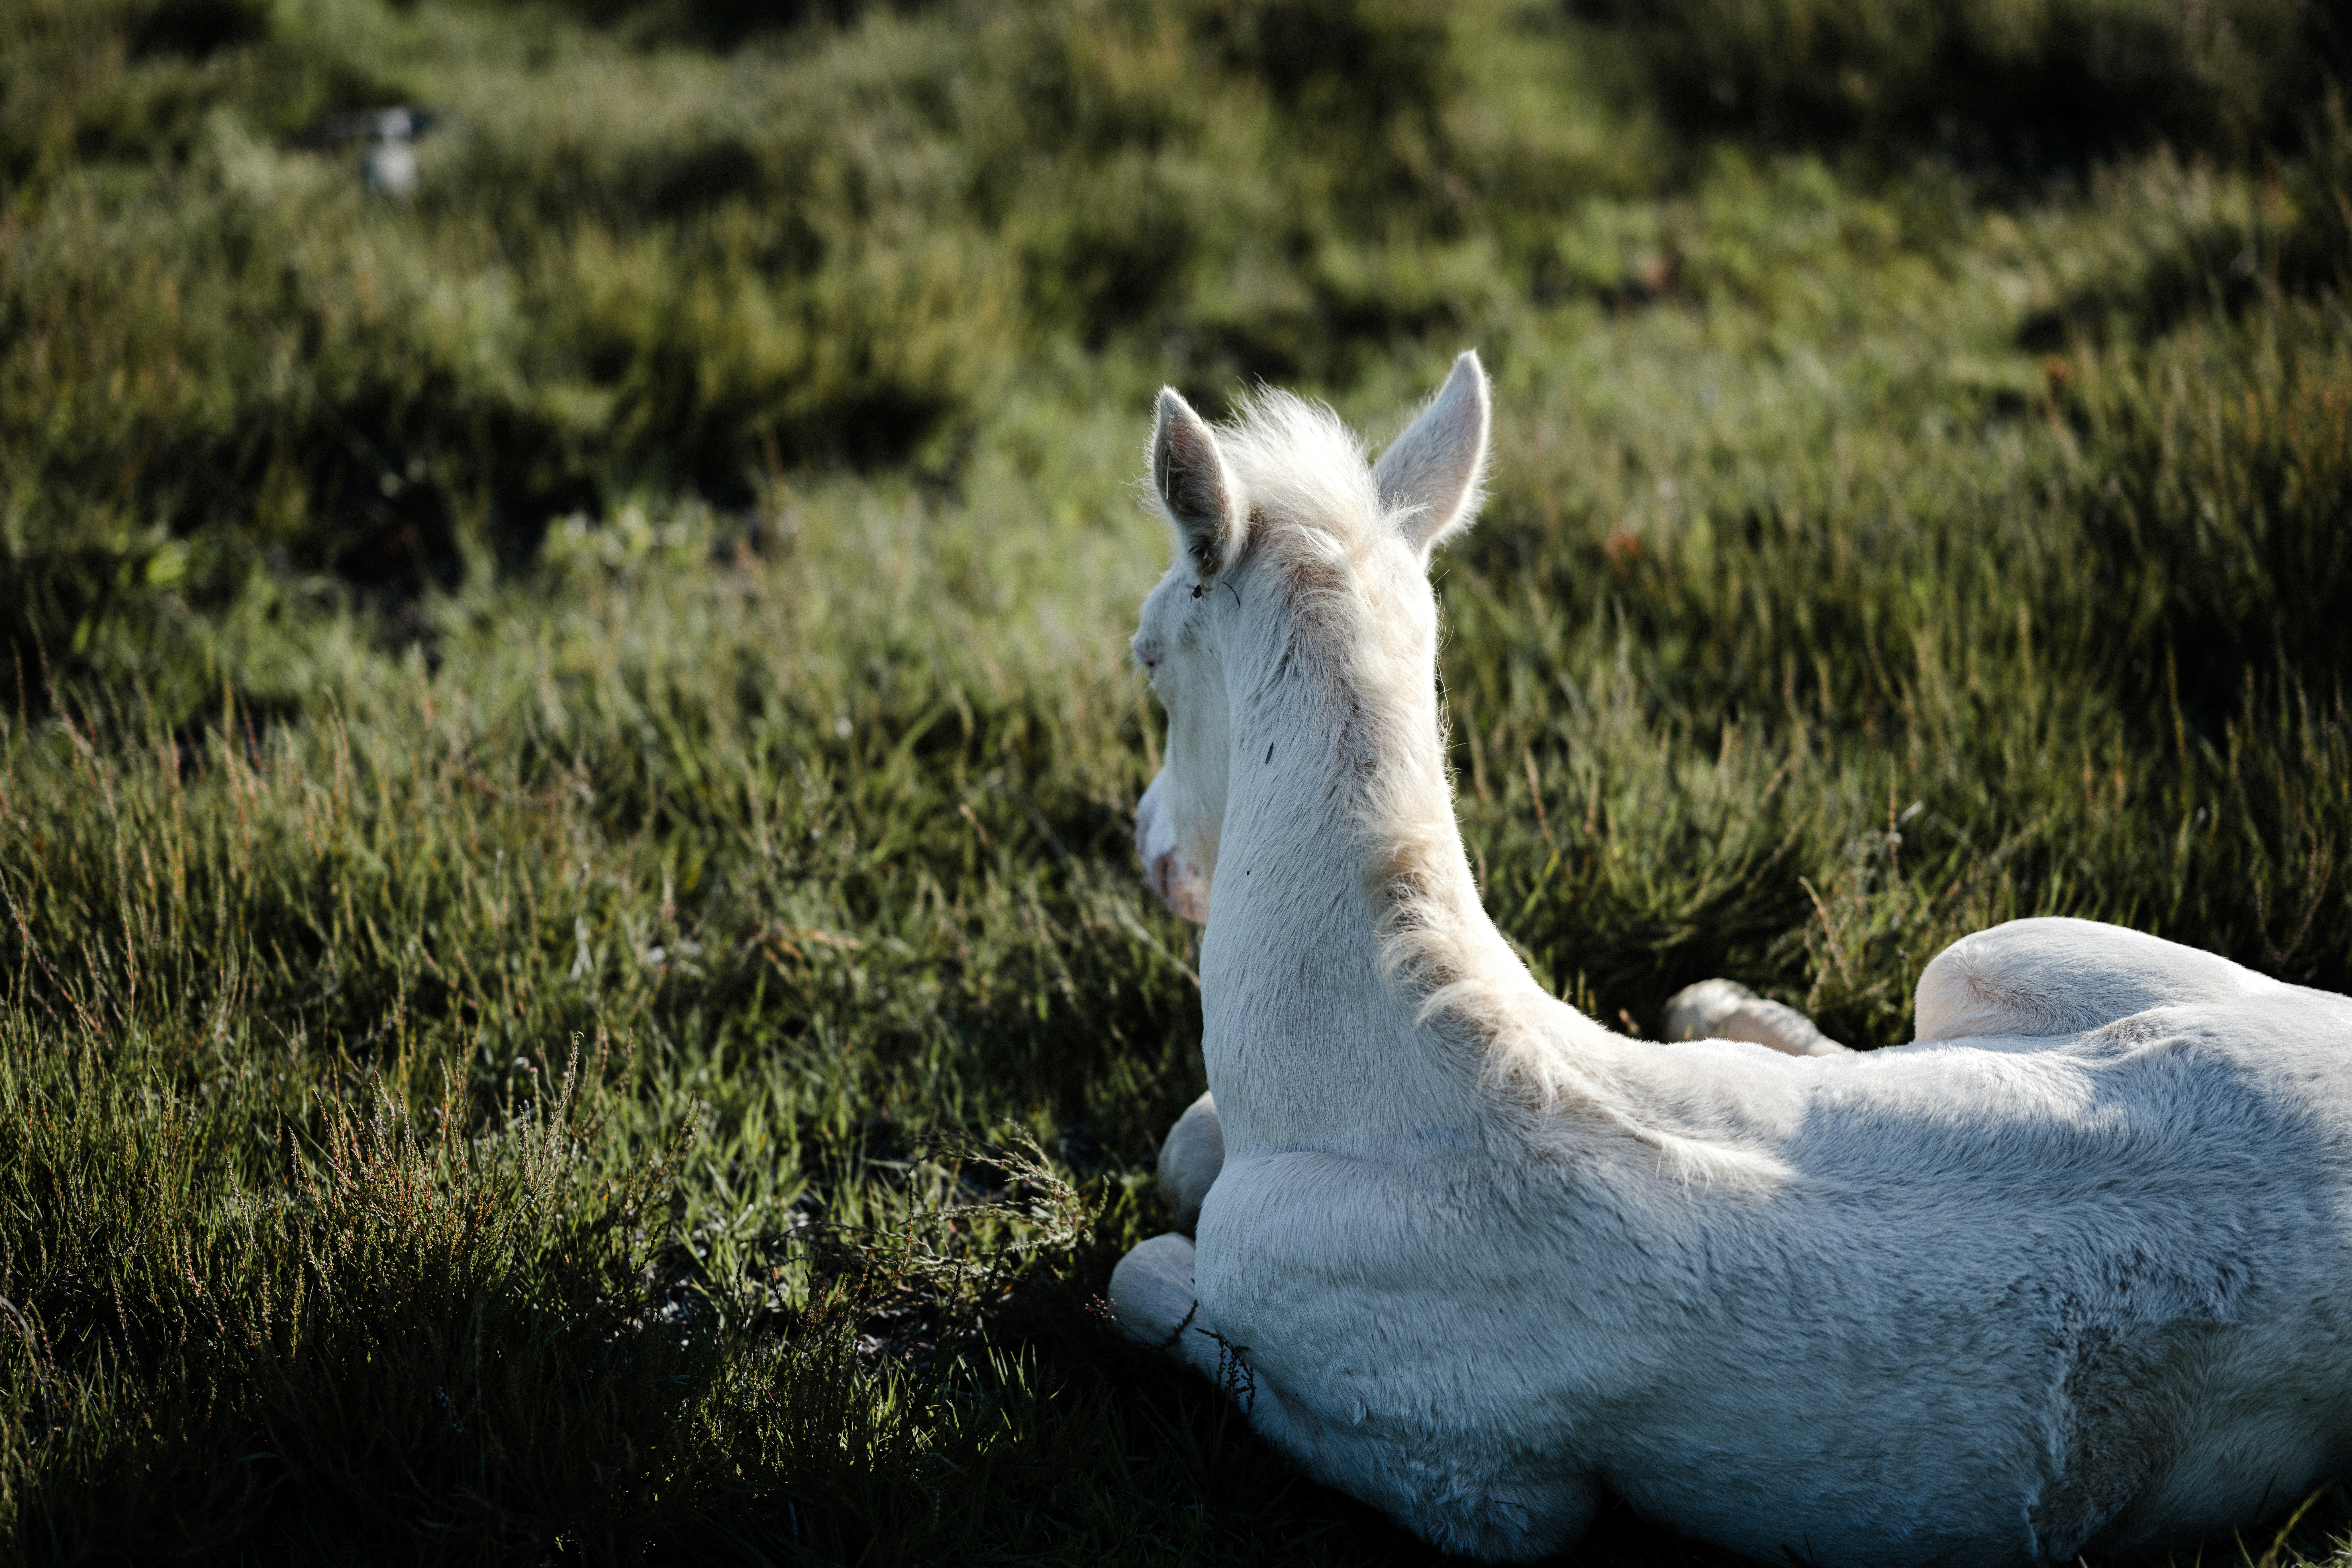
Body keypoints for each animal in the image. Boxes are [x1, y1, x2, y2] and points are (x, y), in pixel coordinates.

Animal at [1109, 351, 2352, 1565]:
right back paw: (1721, 1007)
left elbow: (1150, 1273)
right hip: (2012, 952)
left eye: (1147, 657)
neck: (1356, 1074)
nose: (1152, 851)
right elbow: (1183, 1143)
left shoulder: (1475, 1478)